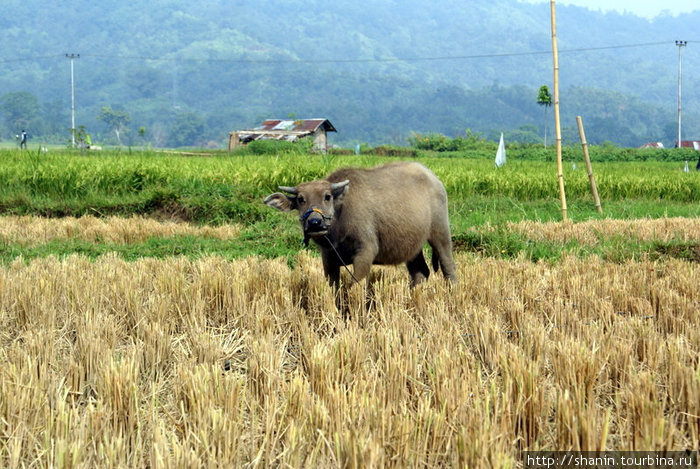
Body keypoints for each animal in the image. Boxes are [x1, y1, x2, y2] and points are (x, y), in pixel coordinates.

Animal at [266, 161, 456, 286]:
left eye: (327, 196)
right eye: (300, 199)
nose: (315, 222)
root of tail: (435, 179)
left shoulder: (365, 252)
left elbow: (355, 285)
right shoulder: (328, 259)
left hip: (440, 233)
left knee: (448, 266)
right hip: (412, 245)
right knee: (420, 272)